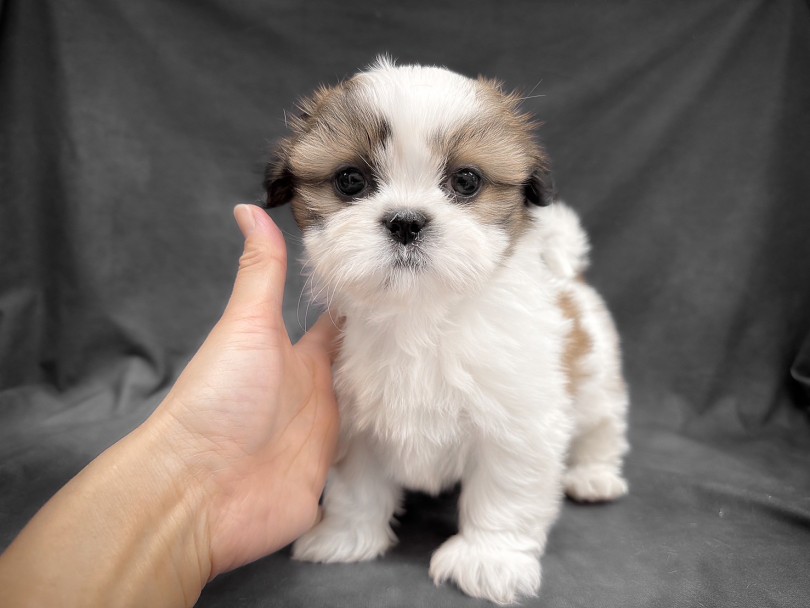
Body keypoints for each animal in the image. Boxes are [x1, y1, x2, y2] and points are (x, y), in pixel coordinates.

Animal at [262, 58, 628, 604]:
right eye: (350, 180)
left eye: (467, 181)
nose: (405, 221)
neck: (422, 314)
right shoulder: (356, 420)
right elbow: (356, 485)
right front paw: (346, 535)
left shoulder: (517, 423)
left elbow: (505, 491)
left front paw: (489, 559)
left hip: (598, 376)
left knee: (603, 425)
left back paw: (594, 475)